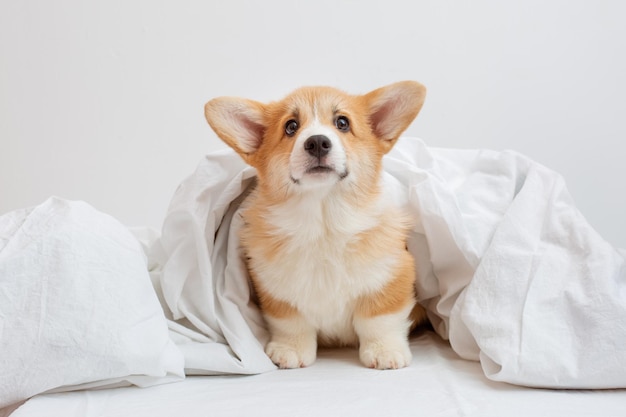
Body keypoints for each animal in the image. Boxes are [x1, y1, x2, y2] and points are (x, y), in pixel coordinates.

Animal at [202, 80, 426, 368]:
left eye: (342, 123)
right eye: (291, 126)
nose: (318, 142)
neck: (323, 223)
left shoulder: (393, 274)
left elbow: (379, 319)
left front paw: (384, 351)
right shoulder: (276, 291)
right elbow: (291, 323)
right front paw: (291, 349)